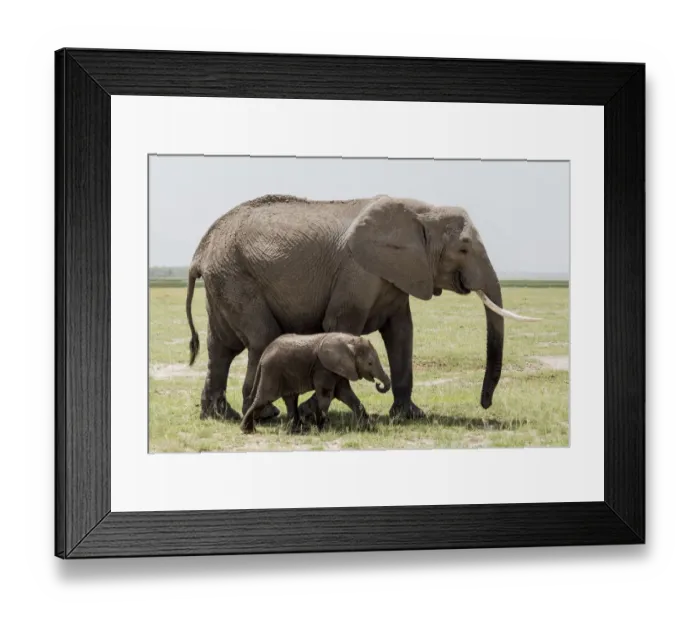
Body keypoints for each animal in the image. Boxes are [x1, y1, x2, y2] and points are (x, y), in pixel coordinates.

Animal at [186, 193, 539, 423]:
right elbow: (340, 325)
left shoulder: (397, 276)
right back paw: (264, 414)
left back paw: (219, 415)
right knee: (261, 337)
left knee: (221, 348)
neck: (421, 212)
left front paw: (410, 416)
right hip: (235, 277)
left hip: (224, 279)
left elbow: (401, 334)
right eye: (463, 248)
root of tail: (200, 252)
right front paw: (313, 411)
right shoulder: (357, 273)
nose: (485, 404)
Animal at [239, 332, 390, 434]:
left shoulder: (337, 368)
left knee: (290, 399)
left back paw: (296, 430)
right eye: (370, 363)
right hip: (272, 372)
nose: (379, 384)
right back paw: (247, 430)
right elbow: (326, 395)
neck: (349, 341)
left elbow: (346, 394)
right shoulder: (323, 368)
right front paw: (324, 428)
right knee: (264, 399)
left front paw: (368, 427)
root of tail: (264, 354)